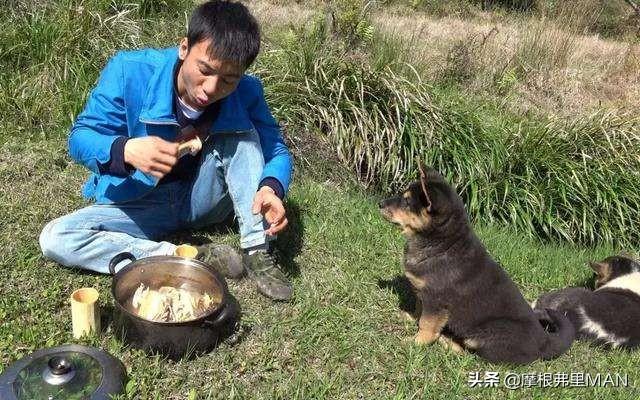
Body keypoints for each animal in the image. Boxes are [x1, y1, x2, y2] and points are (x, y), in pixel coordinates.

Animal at [380, 164, 576, 364]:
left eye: (406, 202)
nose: (380, 203)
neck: (442, 243)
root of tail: (544, 342)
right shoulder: (422, 293)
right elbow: (419, 309)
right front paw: (409, 317)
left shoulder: (435, 301)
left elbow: (427, 324)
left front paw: (416, 343)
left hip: (484, 334)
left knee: (472, 355)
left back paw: (447, 343)